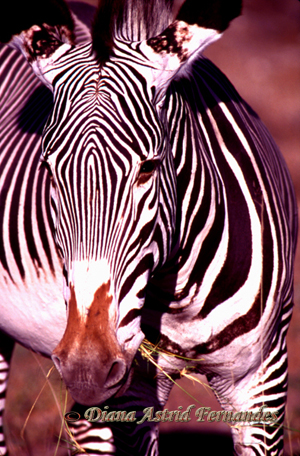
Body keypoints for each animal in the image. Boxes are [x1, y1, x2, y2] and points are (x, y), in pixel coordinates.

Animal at [0, 0, 298, 454]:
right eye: (48, 169)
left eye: (149, 167)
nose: (86, 368)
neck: (183, 295)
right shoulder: (134, 389)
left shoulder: (263, 378)